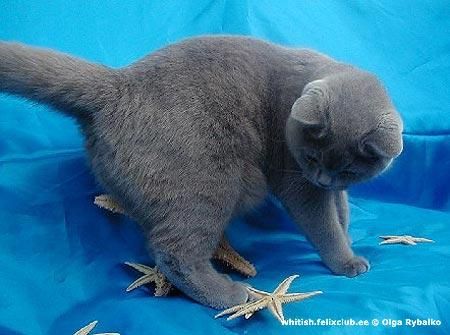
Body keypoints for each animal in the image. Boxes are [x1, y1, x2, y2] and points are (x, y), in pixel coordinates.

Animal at [0, 36, 400, 310]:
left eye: (347, 169)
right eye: (312, 156)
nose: (321, 178)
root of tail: (116, 86)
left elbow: (341, 210)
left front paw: (348, 234)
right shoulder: (293, 176)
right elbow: (322, 223)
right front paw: (346, 260)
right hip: (206, 184)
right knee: (174, 250)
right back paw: (228, 293)